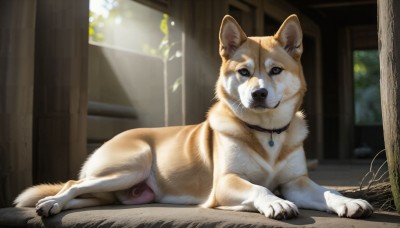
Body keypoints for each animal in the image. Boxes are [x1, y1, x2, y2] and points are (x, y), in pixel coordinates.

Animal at [14, 13, 374, 219]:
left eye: (275, 70)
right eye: (244, 72)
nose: (258, 94)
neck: (266, 134)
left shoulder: (296, 182)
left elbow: (324, 191)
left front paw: (347, 202)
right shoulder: (226, 182)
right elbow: (261, 189)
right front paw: (275, 203)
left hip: (116, 190)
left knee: (87, 197)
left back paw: (56, 204)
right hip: (129, 166)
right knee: (73, 183)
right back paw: (51, 203)